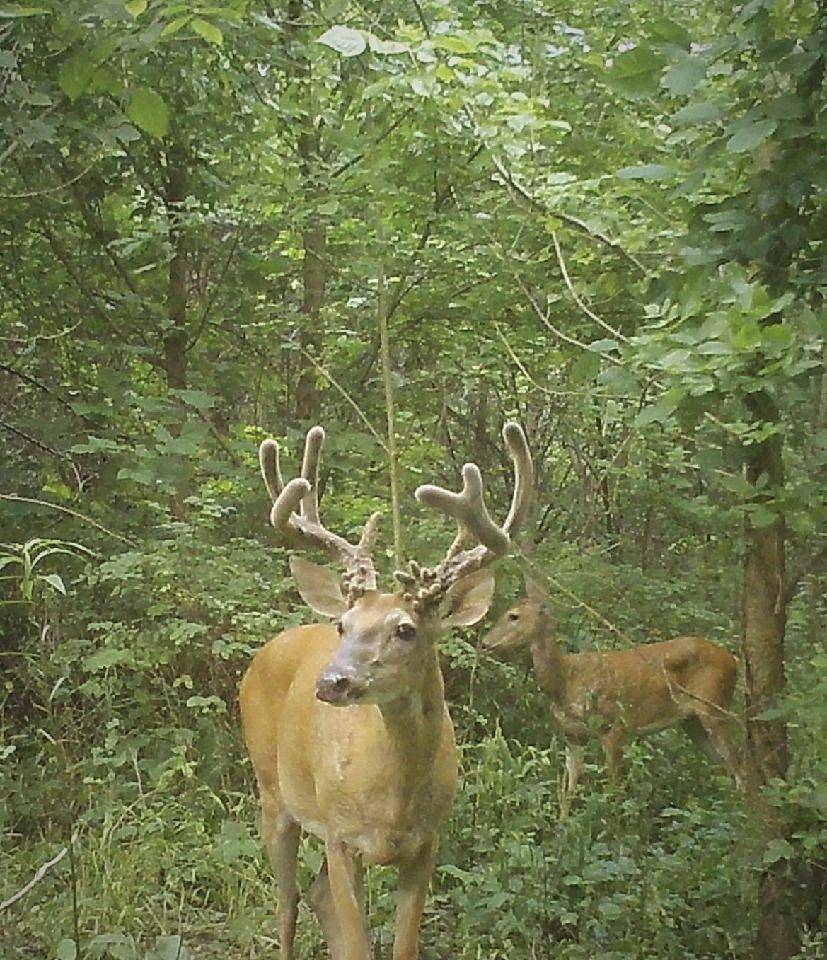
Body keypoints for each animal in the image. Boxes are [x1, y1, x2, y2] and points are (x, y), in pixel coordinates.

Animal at [239, 422, 533, 960]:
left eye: (405, 629)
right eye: (343, 624)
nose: (331, 682)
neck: (393, 802)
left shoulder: (428, 841)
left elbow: (402, 947)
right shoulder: (340, 836)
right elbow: (357, 942)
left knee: (314, 895)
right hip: (273, 789)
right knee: (287, 903)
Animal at [480, 579, 742, 818]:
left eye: (513, 616)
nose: (484, 643)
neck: (566, 679)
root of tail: (733, 660)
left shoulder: (614, 728)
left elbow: (613, 792)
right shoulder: (573, 735)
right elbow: (568, 790)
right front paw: (562, 830)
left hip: (714, 706)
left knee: (741, 764)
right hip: (692, 722)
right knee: (727, 765)